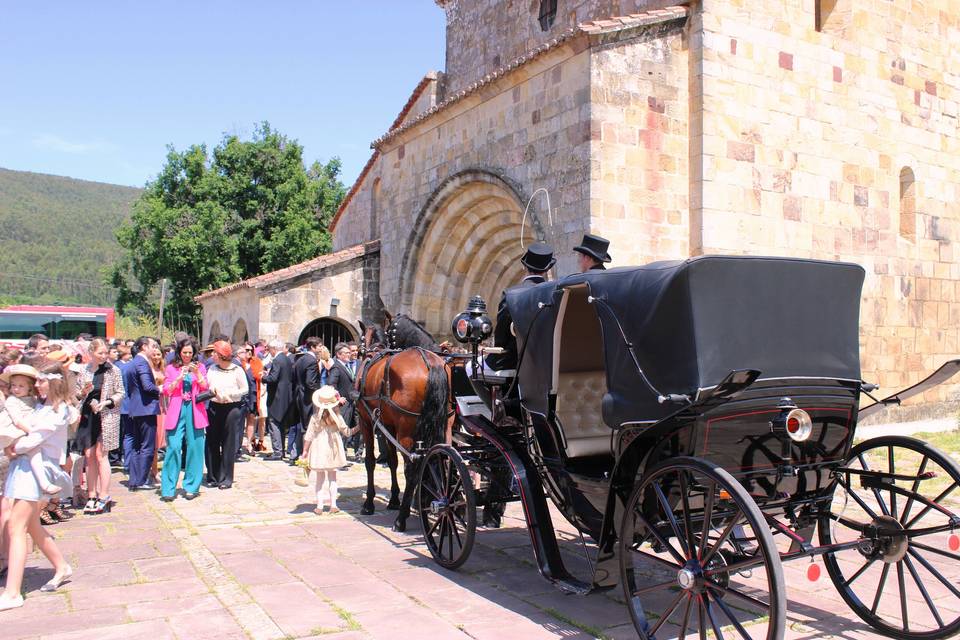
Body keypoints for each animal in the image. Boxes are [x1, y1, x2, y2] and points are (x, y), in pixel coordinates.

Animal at [356, 316, 454, 528]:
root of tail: (431, 363)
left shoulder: (366, 421)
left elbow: (370, 460)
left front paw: (369, 503)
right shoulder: (388, 426)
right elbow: (392, 461)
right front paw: (394, 499)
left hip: (407, 432)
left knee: (412, 467)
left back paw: (402, 519)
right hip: (445, 426)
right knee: (443, 459)